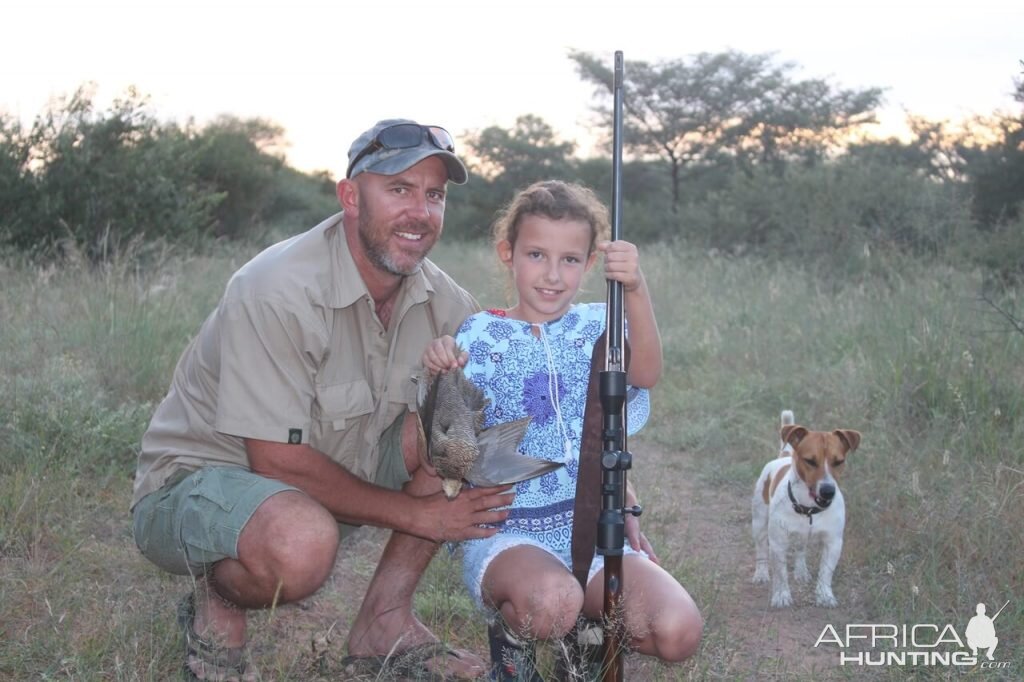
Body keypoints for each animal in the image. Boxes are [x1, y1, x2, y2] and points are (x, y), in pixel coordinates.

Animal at [749, 409, 860, 606]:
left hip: (801, 536)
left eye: (839, 461)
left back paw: (801, 572)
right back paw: (761, 574)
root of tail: (784, 456)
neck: (810, 510)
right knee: (761, 549)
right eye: (810, 461)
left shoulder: (833, 542)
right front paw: (782, 596)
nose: (828, 491)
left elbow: (826, 573)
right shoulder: (778, 543)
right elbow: (780, 574)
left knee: (801, 550)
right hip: (759, 522)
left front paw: (825, 595)